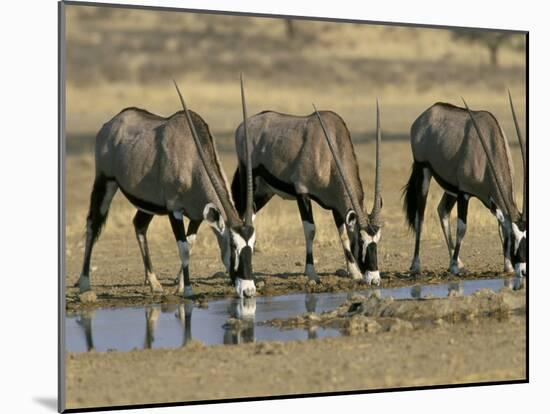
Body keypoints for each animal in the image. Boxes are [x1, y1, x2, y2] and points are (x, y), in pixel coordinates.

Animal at [76, 79, 258, 296]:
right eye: (233, 245)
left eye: (253, 245)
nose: (248, 291)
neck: (192, 159)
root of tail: (112, 122)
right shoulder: (174, 209)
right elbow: (183, 248)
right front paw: (187, 290)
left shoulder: (197, 214)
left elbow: (191, 243)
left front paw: (179, 285)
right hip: (105, 182)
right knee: (93, 224)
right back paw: (84, 283)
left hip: (147, 201)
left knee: (139, 225)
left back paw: (154, 282)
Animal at [232, 102, 384, 286]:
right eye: (361, 240)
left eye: (377, 240)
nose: (374, 279)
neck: (328, 152)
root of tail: (243, 126)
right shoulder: (302, 193)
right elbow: (310, 230)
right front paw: (312, 274)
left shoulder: (336, 205)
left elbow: (342, 234)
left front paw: (354, 272)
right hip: (249, 183)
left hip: (264, 192)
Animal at [404, 94, 528, 278]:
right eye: (514, 238)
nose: (524, 271)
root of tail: (426, 114)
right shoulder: (464, 193)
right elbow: (462, 227)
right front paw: (454, 267)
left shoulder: (490, 198)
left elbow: (500, 225)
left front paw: (507, 266)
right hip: (424, 170)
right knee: (420, 217)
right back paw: (417, 265)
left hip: (451, 188)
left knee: (442, 210)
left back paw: (458, 262)